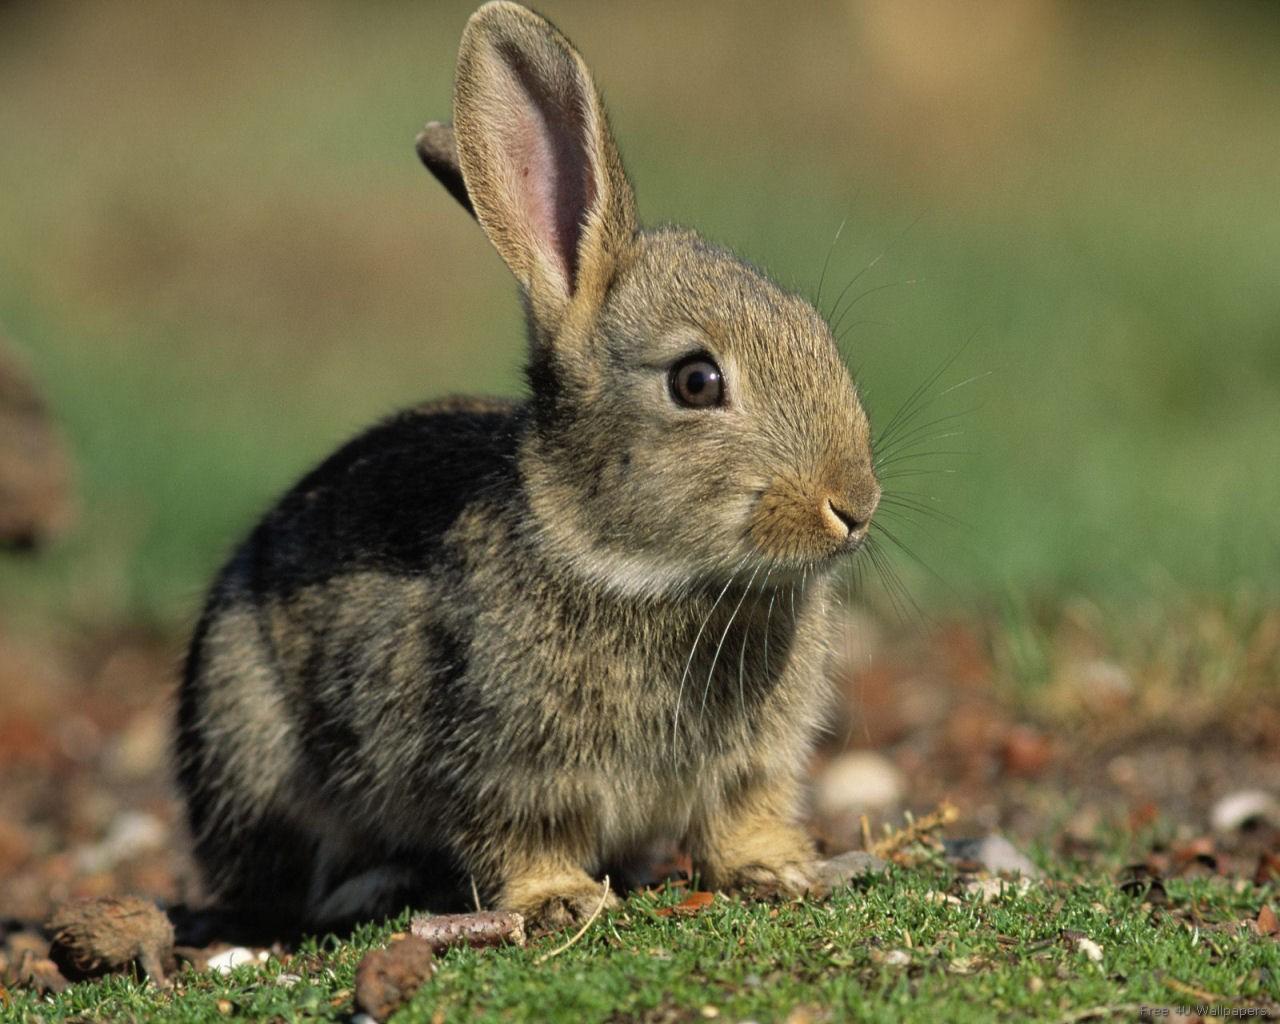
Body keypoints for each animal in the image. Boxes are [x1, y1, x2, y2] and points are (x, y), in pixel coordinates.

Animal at [177, 0, 880, 931]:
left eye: (814, 332)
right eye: (696, 381)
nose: (855, 505)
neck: (640, 571)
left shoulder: (751, 763)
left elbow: (740, 816)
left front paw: (781, 869)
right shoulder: (496, 763)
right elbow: (519, 838)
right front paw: (561, 901)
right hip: (251, 738)